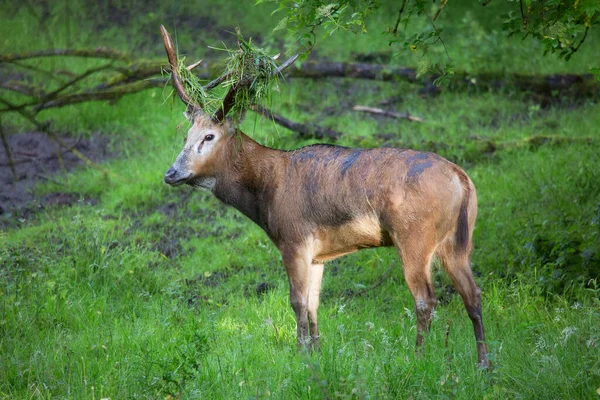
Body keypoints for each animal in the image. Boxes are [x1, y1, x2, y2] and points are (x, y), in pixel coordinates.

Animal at [161, 25, 492, 368]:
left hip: (414, 235)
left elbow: (296, 301)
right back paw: (483, 362)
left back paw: (417, 357)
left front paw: (300, 355)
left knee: (426, 298)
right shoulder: (318, 254)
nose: (171, 173)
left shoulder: (293, 238)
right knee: (473, 293)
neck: (265, 195)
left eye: (209, 136)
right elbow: (313, 304)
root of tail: (463, 179)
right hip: (457, 241)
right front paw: (317, 353)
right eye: (185, 136)